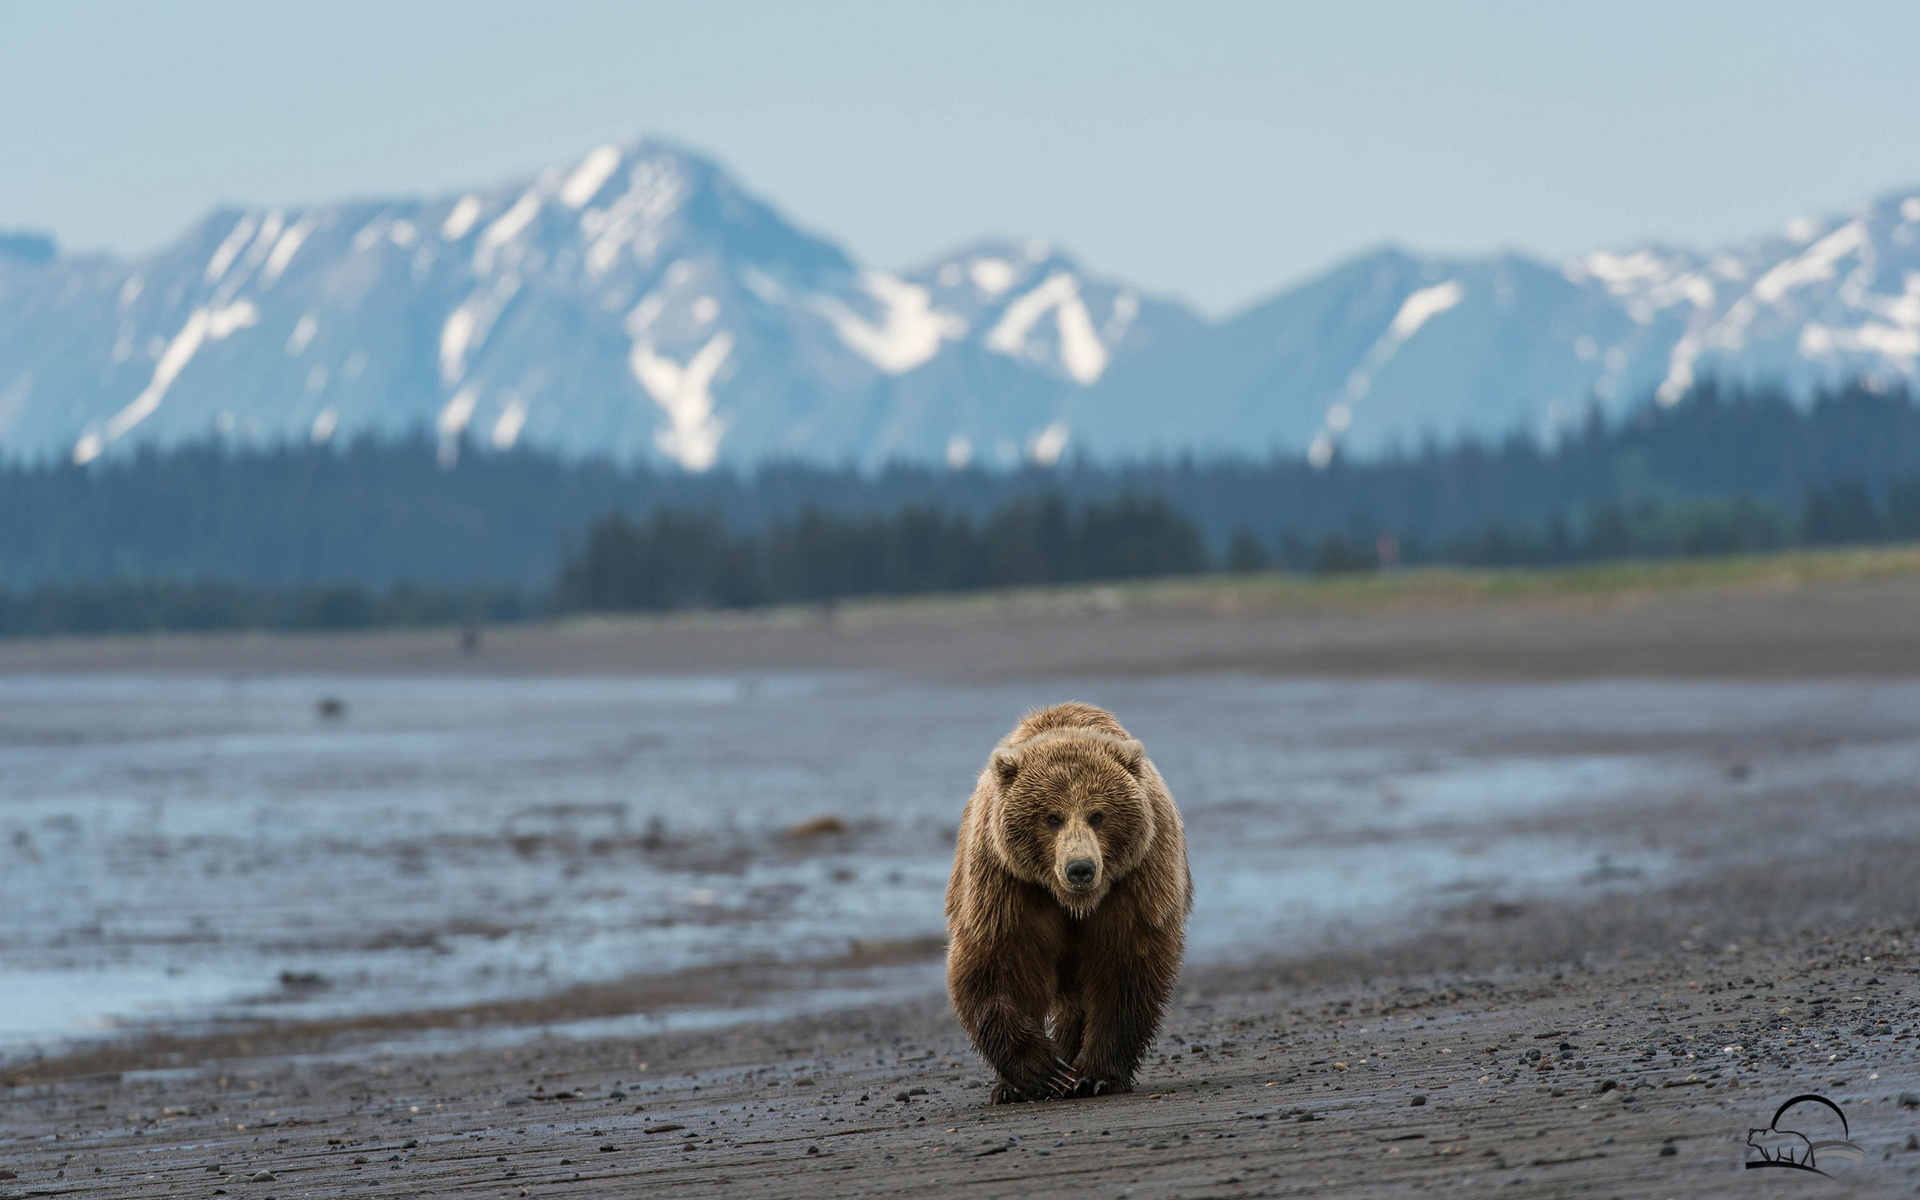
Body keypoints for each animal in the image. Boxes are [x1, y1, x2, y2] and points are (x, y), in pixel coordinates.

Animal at [945, 701, 1192, 1102]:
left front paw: (1094, 1075)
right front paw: (1043, 1071)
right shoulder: (1007, 884)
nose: (1080, 868)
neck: (1073, 902)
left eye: (1098, 814)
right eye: (1051, 817)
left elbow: (1125, 966)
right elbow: (997, 963)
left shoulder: (1135, 880)